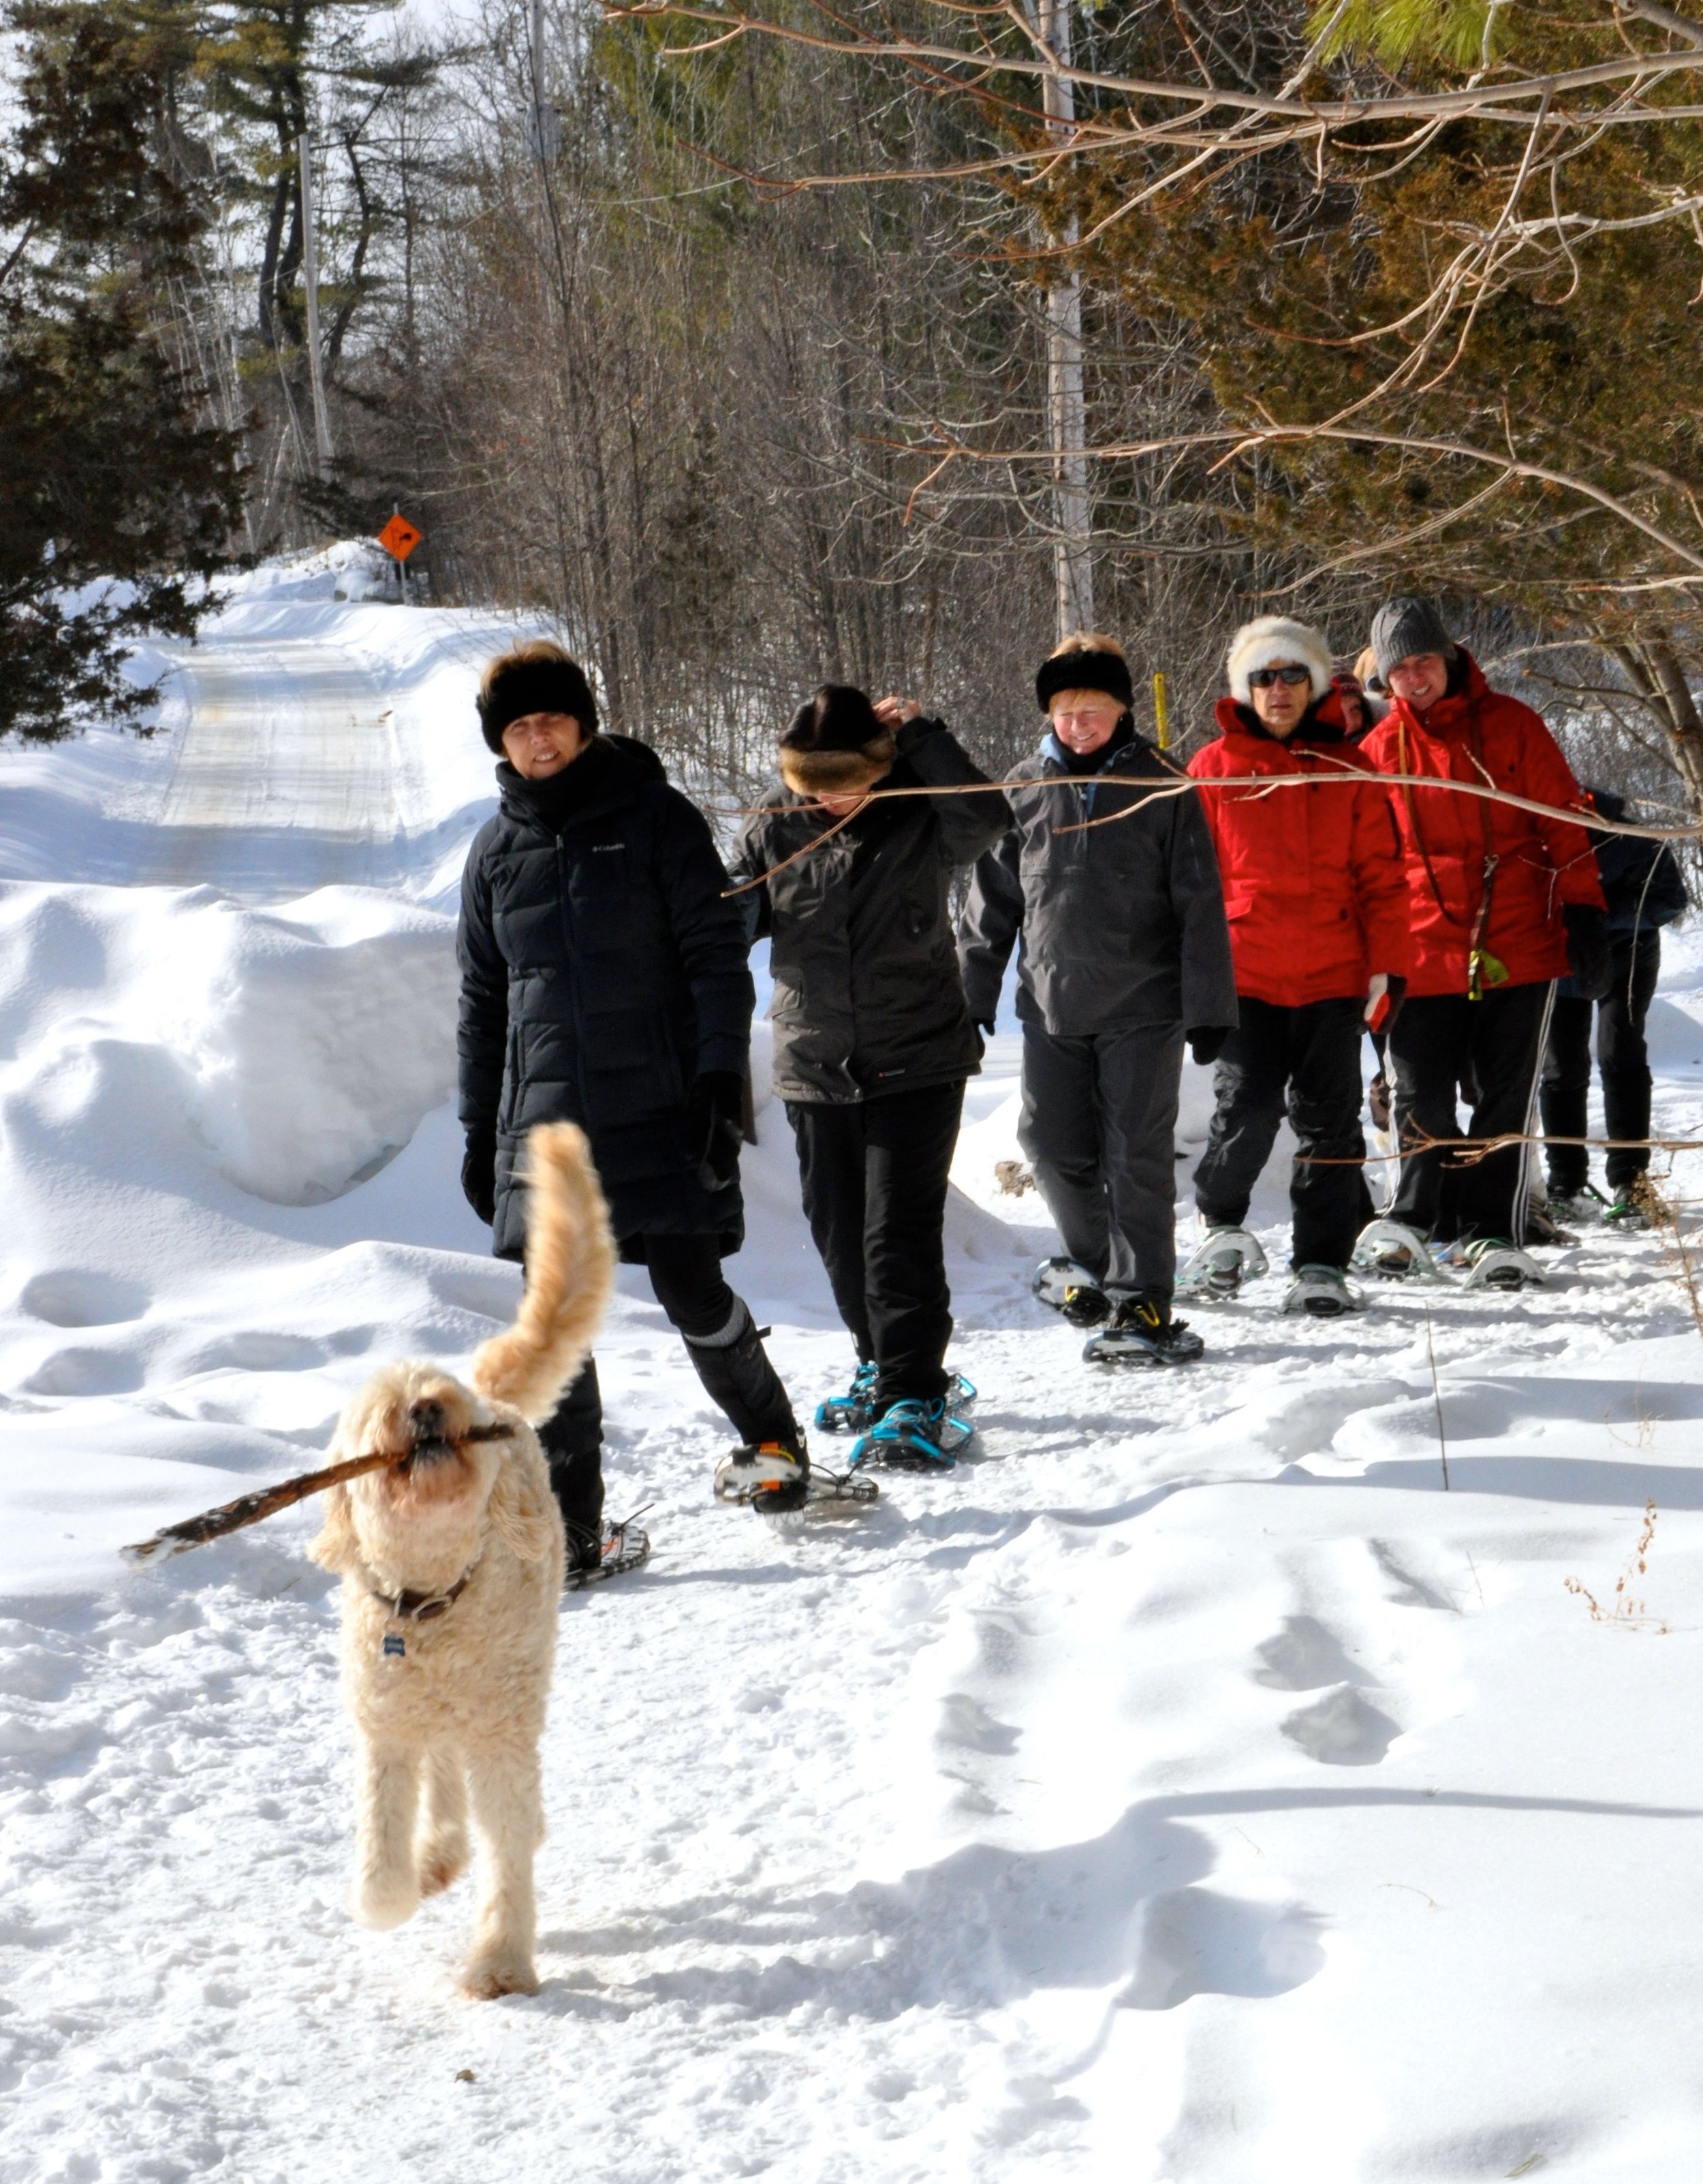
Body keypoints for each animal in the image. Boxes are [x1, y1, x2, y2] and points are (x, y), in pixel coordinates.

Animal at [310, 1126, 615, 2000]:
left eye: (434, 1389)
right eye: (375, 1410)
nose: (425, 1406)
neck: (433, 1599)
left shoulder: (500, 1735)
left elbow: (510, 1849)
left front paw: (501, 1962)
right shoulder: (386, 1727)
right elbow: (382, 1855)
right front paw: (395, 1891)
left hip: (510, 1689)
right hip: (433, 1717)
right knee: (442, 1782)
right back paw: (438, 1856)